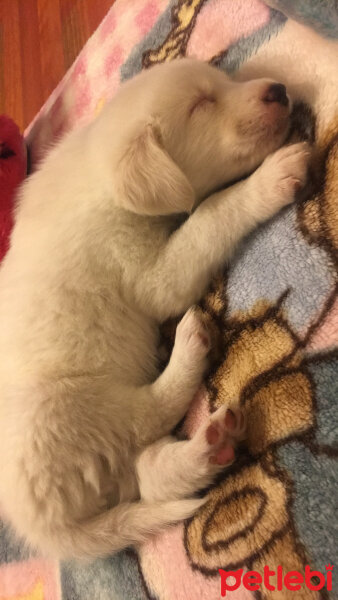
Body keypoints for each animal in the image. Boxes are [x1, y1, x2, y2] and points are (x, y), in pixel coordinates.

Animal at [0, 58, 308, 560]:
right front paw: (269, 180)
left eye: (223, 82)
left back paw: (210, 447)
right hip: (76, 405)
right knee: (151, 415)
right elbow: (209, 215)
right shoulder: (145, 271)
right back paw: (189, 349)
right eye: (201, 105)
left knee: (149, 474)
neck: (99, 179)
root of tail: (44, 528)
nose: (279, 90)